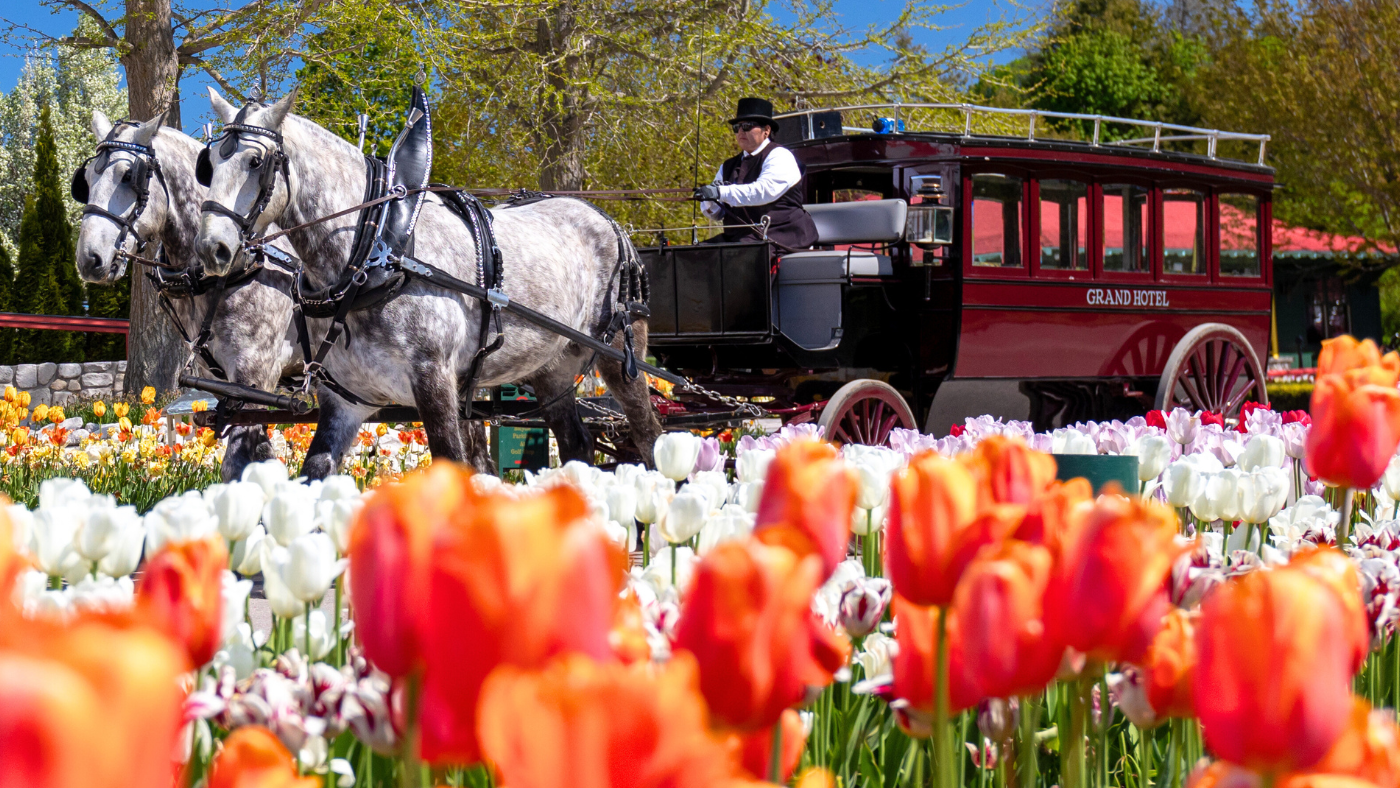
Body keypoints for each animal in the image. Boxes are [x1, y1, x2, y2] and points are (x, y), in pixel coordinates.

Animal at [193, 89, 666, 478]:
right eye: (209, 165)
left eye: (256, 162)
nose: (212, 248)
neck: (379, 251)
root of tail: (609, 222)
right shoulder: (347, 400)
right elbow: (314, 478)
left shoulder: (434, 379)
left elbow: (453, 465)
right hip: (551, 369)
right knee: (576, 445)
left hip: (619, 356)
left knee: (650, 437)